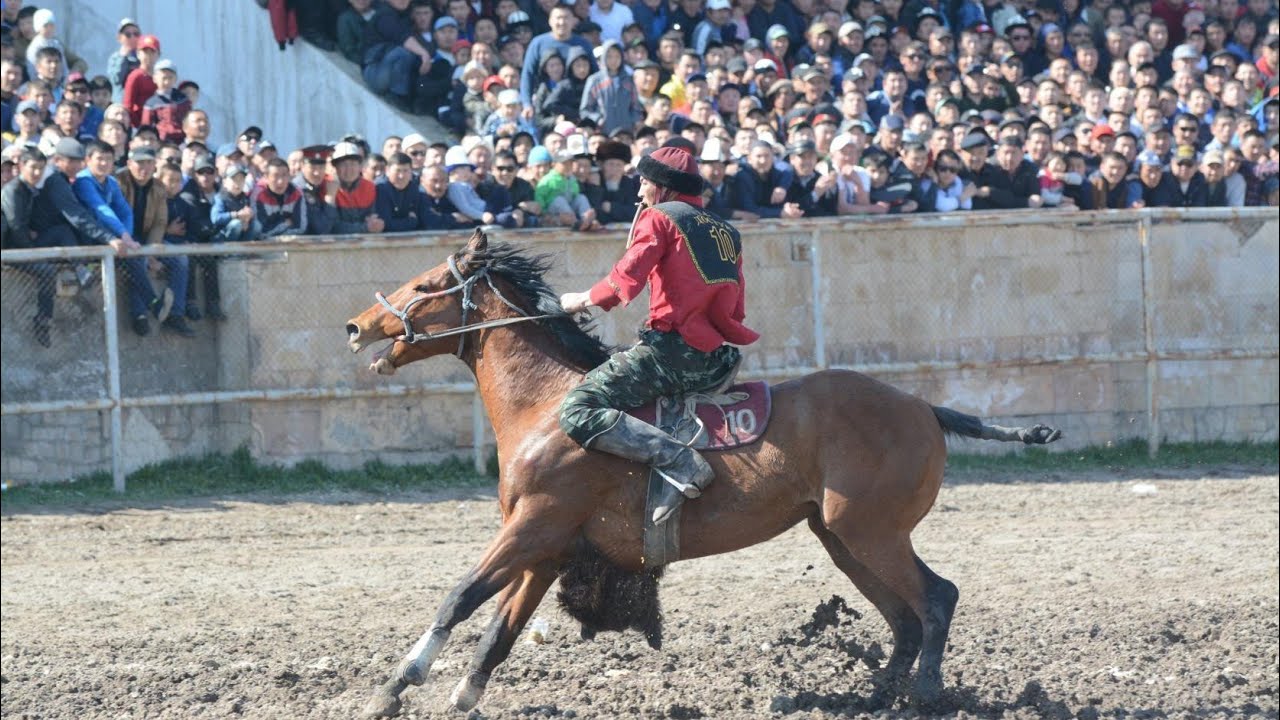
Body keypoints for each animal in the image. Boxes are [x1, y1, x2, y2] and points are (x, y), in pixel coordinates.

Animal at [343, 229, 1059, 712]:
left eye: (426, 286)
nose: (355, 325)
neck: (547, 405)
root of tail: (922, 407)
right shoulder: (545, 546)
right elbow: (500, 628)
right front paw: (462, 695)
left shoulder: (534, 527)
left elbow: (460, 597)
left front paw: (392, 687)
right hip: (841, 538)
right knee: (905, 616)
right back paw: (877, 695)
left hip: (872, 533)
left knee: (935, 599)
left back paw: (926, 694)